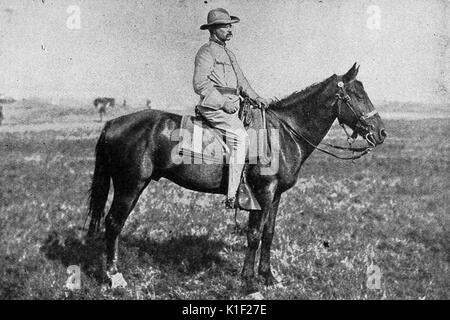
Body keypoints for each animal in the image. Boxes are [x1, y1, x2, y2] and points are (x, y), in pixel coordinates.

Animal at [87, 63, 386, 292]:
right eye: (357, 95)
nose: (381, 132)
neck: (282, 134)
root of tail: (113, 123)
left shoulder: (275, 195)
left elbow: (268, 233)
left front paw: (268, 277)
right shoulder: (262, 191)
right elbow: (253, 234)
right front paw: (249, 281)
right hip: (130, 185)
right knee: (113, 223)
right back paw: (115, 276)